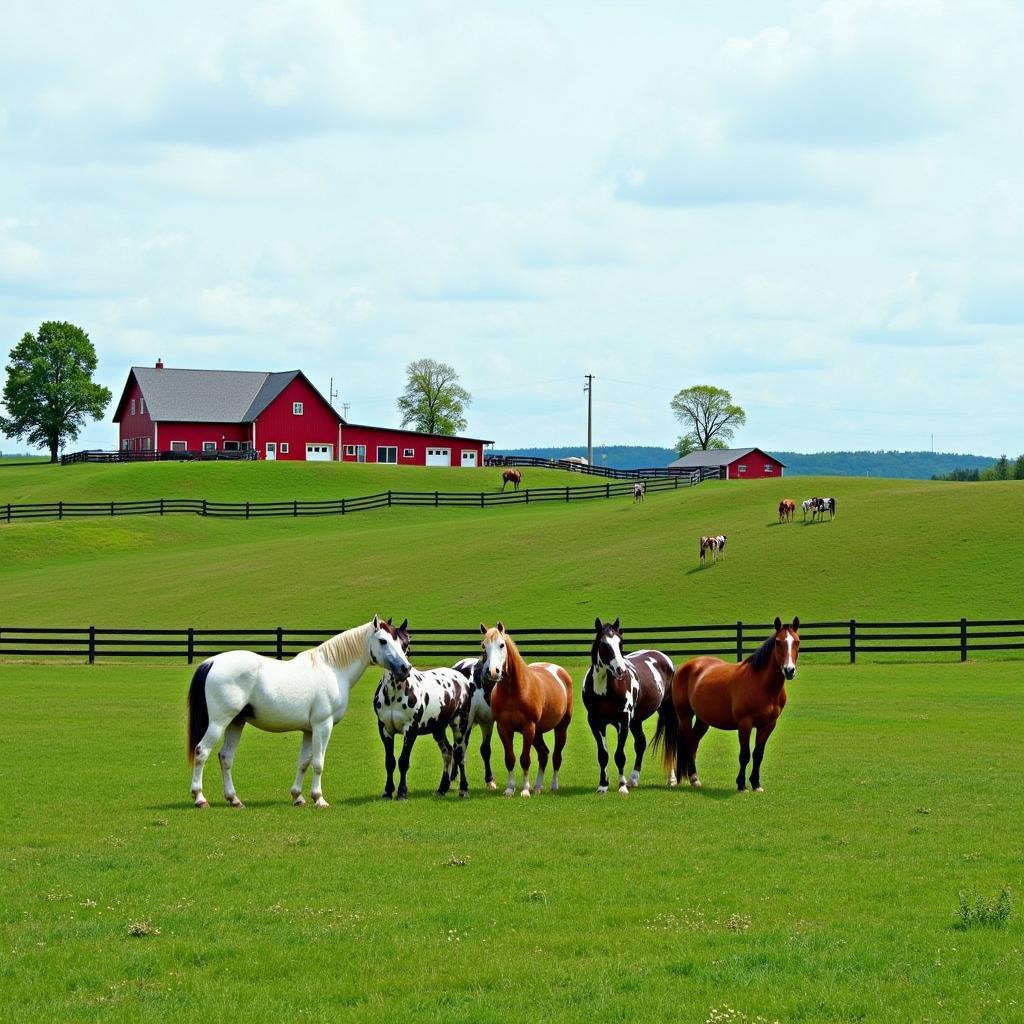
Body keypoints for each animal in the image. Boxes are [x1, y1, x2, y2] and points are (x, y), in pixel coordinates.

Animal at [186, 614, 409, 806]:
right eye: (383, 641)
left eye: (401, 643)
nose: (405, 668)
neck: (332, 669)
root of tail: (212, 662)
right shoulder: (323, 726)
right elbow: (318, 763)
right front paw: (319, 799)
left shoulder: (309, 730)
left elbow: (304, 762)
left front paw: (298, 797)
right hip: (219, 722)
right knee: (201, 751)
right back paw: (200, 798)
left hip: (235, 722)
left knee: (225, 757)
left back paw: (234, 799)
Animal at [372, 618, 475, 794]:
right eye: (384, 642)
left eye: (407, 643)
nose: (404, 669)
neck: (394, 694)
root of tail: (461, 676)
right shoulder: (385, 730)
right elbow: (390, 762)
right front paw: (388, 791)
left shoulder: (410, 730)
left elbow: (403, 761)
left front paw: (402, 791)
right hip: (438, 729)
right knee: (447, 752)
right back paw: (442, 787)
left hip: (459, 725)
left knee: (459, 754)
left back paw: (463, 788)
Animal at [477, 618, 573, 794]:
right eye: (483, 645)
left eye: (502, 645)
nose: (492, 672)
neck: (514, 691)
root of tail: (560, 671)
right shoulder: (503, 728)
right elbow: (510, 758)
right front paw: (510, 789)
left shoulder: (528, 728)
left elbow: (525, 759)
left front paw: (525, 790)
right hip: (538, 732)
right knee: (543, 754)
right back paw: (538, 787)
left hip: (560, 728)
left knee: (556, 756)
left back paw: (553, 786)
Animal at [581, 614, 675, 790]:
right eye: (604, 644)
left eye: (620, 643)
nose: (621, 671)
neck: (604, 690)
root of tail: (662, 656)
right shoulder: (595, 721)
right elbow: (603, 755)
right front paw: (603, 785)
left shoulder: (623, 720)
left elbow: (619, 755)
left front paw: (622, 786)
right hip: (636, 720)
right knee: (641, 743)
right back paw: (633, 779)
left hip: (666, 712)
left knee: (671, 743)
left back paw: (671, 779)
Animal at [655, 614, 798, 790]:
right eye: (778, 642)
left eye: (797, 641)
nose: (789, 670)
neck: (762, 684)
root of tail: (683, 667)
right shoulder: (745, 723)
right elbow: (745, 755)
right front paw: (741, 784)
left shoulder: (768, 725)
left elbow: (758, 754)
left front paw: (756, 784)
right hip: (684, 715)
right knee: (686, 742)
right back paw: (687, 777)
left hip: (703, 720)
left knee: (693, 743)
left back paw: (692, 778)